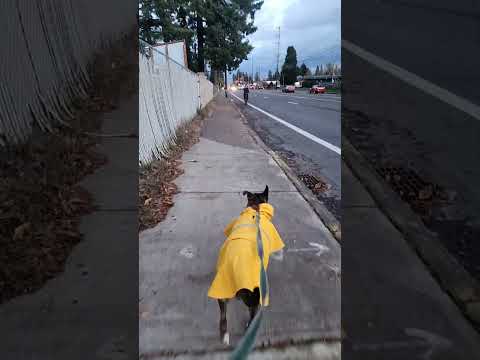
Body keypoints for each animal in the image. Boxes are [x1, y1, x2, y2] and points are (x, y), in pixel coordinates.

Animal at [207, 187, 284, 344]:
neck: (256, 207)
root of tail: (234, 267)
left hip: (222, 290)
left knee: (223, 316)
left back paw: (224, 335)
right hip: (254, 295)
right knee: (252, 313)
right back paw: (249, 326)